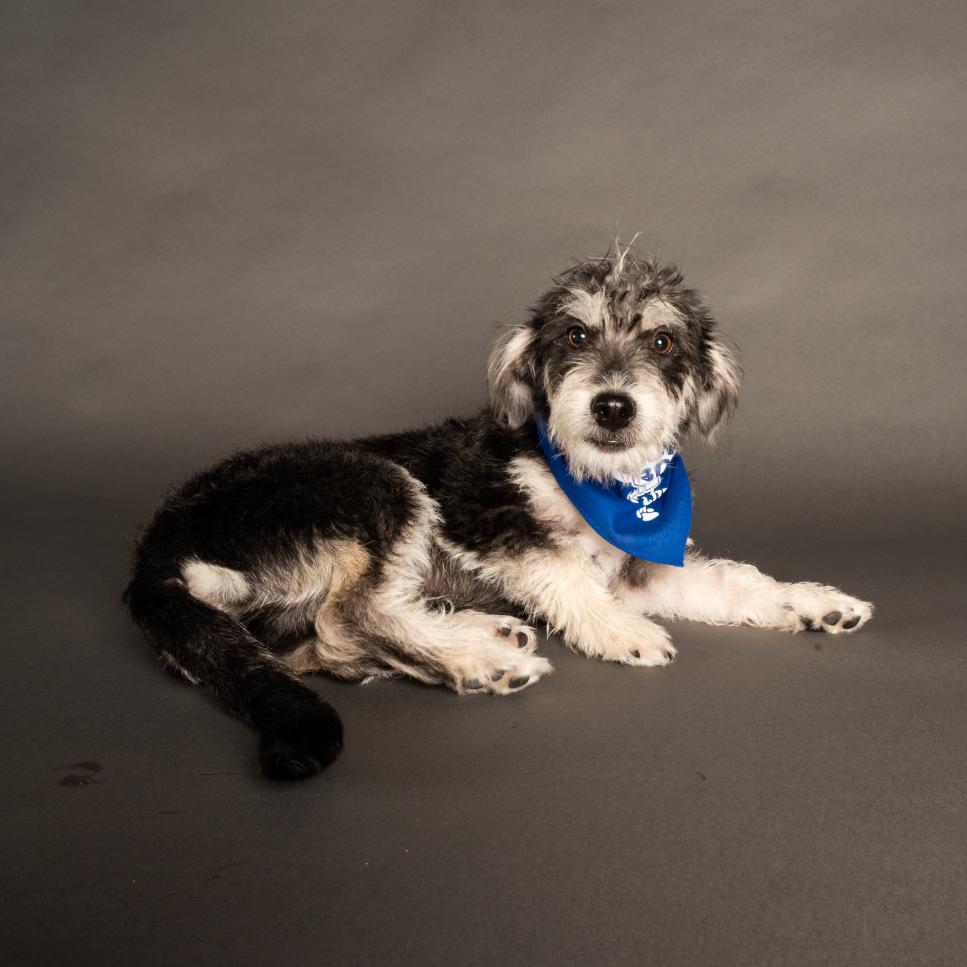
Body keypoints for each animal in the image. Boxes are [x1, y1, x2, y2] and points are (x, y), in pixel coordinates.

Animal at [125, 246, 872, 784]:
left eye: (662, 343)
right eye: (574, 335)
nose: (612, 406)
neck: (596, 482)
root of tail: (155, 548)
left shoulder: (642, 570)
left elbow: (732, 582)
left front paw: (813, 604)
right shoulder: (492, 519)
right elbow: (565, 574)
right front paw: (622, 633)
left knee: (314, 643)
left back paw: (478, 637)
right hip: (374, 485)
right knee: (350, 616)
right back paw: (478, 660)